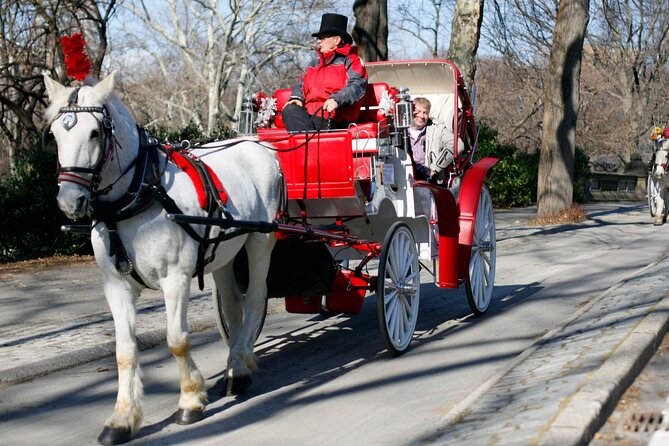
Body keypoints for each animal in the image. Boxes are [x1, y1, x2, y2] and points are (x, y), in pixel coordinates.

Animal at [41, 71, 282, 444]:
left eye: (95, 132)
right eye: (55, 134)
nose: (70, 201)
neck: (138, 194)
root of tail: (255, 143)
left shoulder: (176, 279)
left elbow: (177, 341)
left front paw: (190, 400)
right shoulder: (116, 285)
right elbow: (124, 351)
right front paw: (122, 418)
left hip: (260, 239)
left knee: (255, 298)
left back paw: (240, 364)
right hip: (226, 251)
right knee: (232, 306)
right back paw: (235, 366)